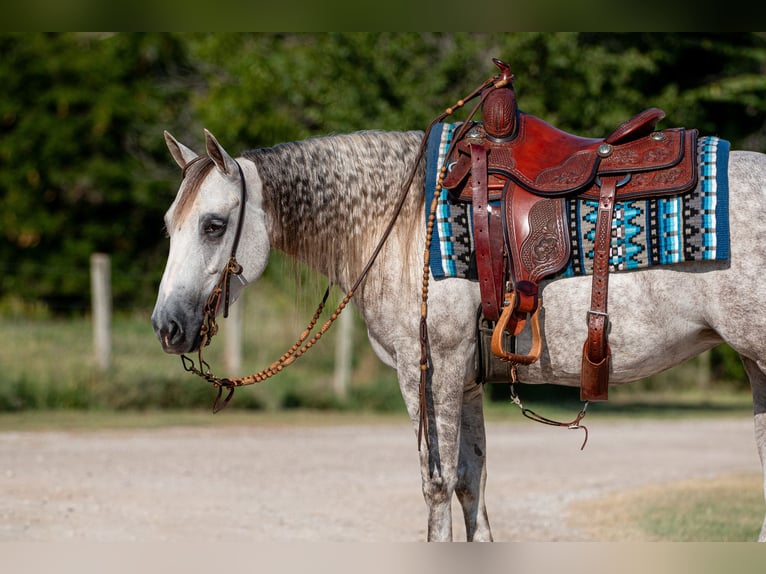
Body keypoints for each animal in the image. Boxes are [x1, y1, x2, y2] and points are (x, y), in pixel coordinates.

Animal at [152, 124, 766, 544]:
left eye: (213, 225)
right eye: (168, 225)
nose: (167, 326)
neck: (402, 227)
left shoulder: (430, 368)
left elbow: (437, 483)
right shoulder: (466, 379)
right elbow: (472, 482)